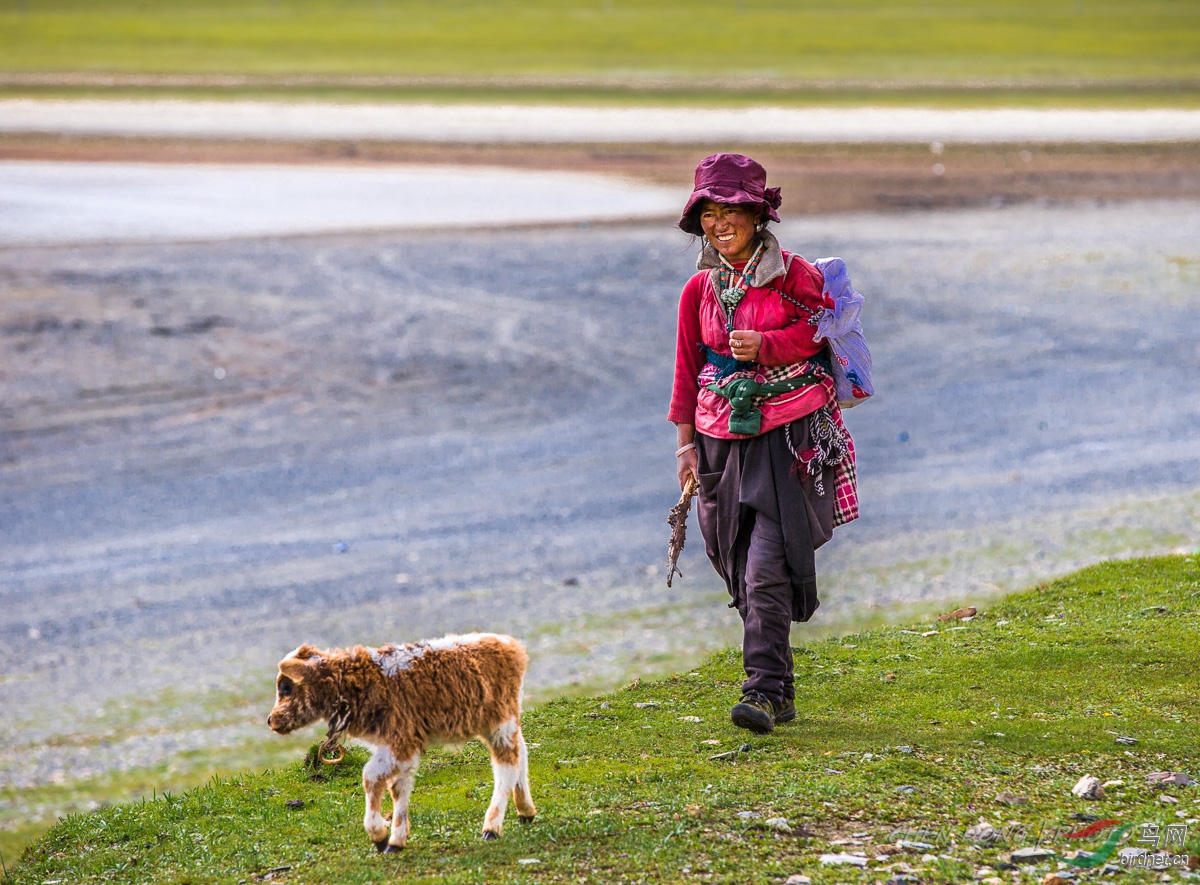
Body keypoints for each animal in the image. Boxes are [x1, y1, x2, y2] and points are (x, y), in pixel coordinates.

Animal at [272, 628, 540, 849]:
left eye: (285, 687)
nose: (272, 720)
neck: (359, 682)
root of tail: (508, 644)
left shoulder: (400, 741)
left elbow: (370, 777)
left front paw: (379, 836)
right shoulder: (395, 747)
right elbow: (398, 787)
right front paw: (396, 840)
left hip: (500, 722)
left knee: (507, 764)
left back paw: (491, 828)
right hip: (497, 721)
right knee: (521, 753)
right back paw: (525, 811)